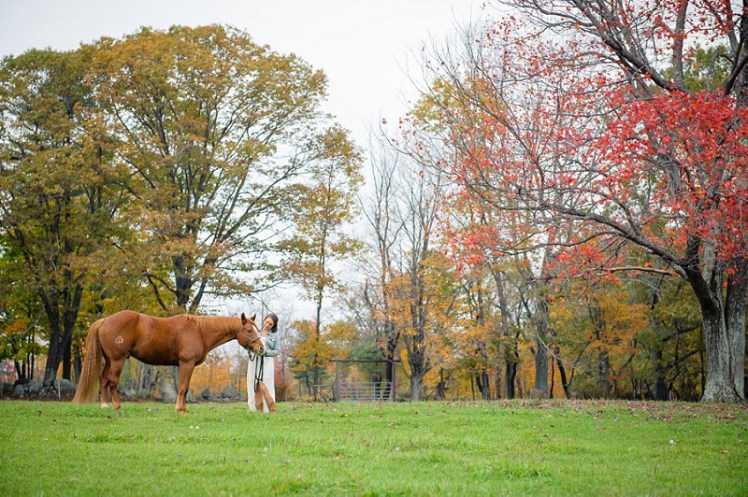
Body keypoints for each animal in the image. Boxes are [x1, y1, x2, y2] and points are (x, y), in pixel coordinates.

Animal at [73, 310, 265, 412]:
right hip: (117, 360)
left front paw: (183, 409)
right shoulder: (186, 363)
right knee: (112, 381)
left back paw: (105, 405)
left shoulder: (187, 366)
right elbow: (182, 387)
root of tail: (105, 320)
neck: (200, 331)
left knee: (103, 379)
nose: (261, 348)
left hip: (109, 360)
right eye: (249, 330)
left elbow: (185, 388)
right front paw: (180, 410)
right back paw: (117, 406)